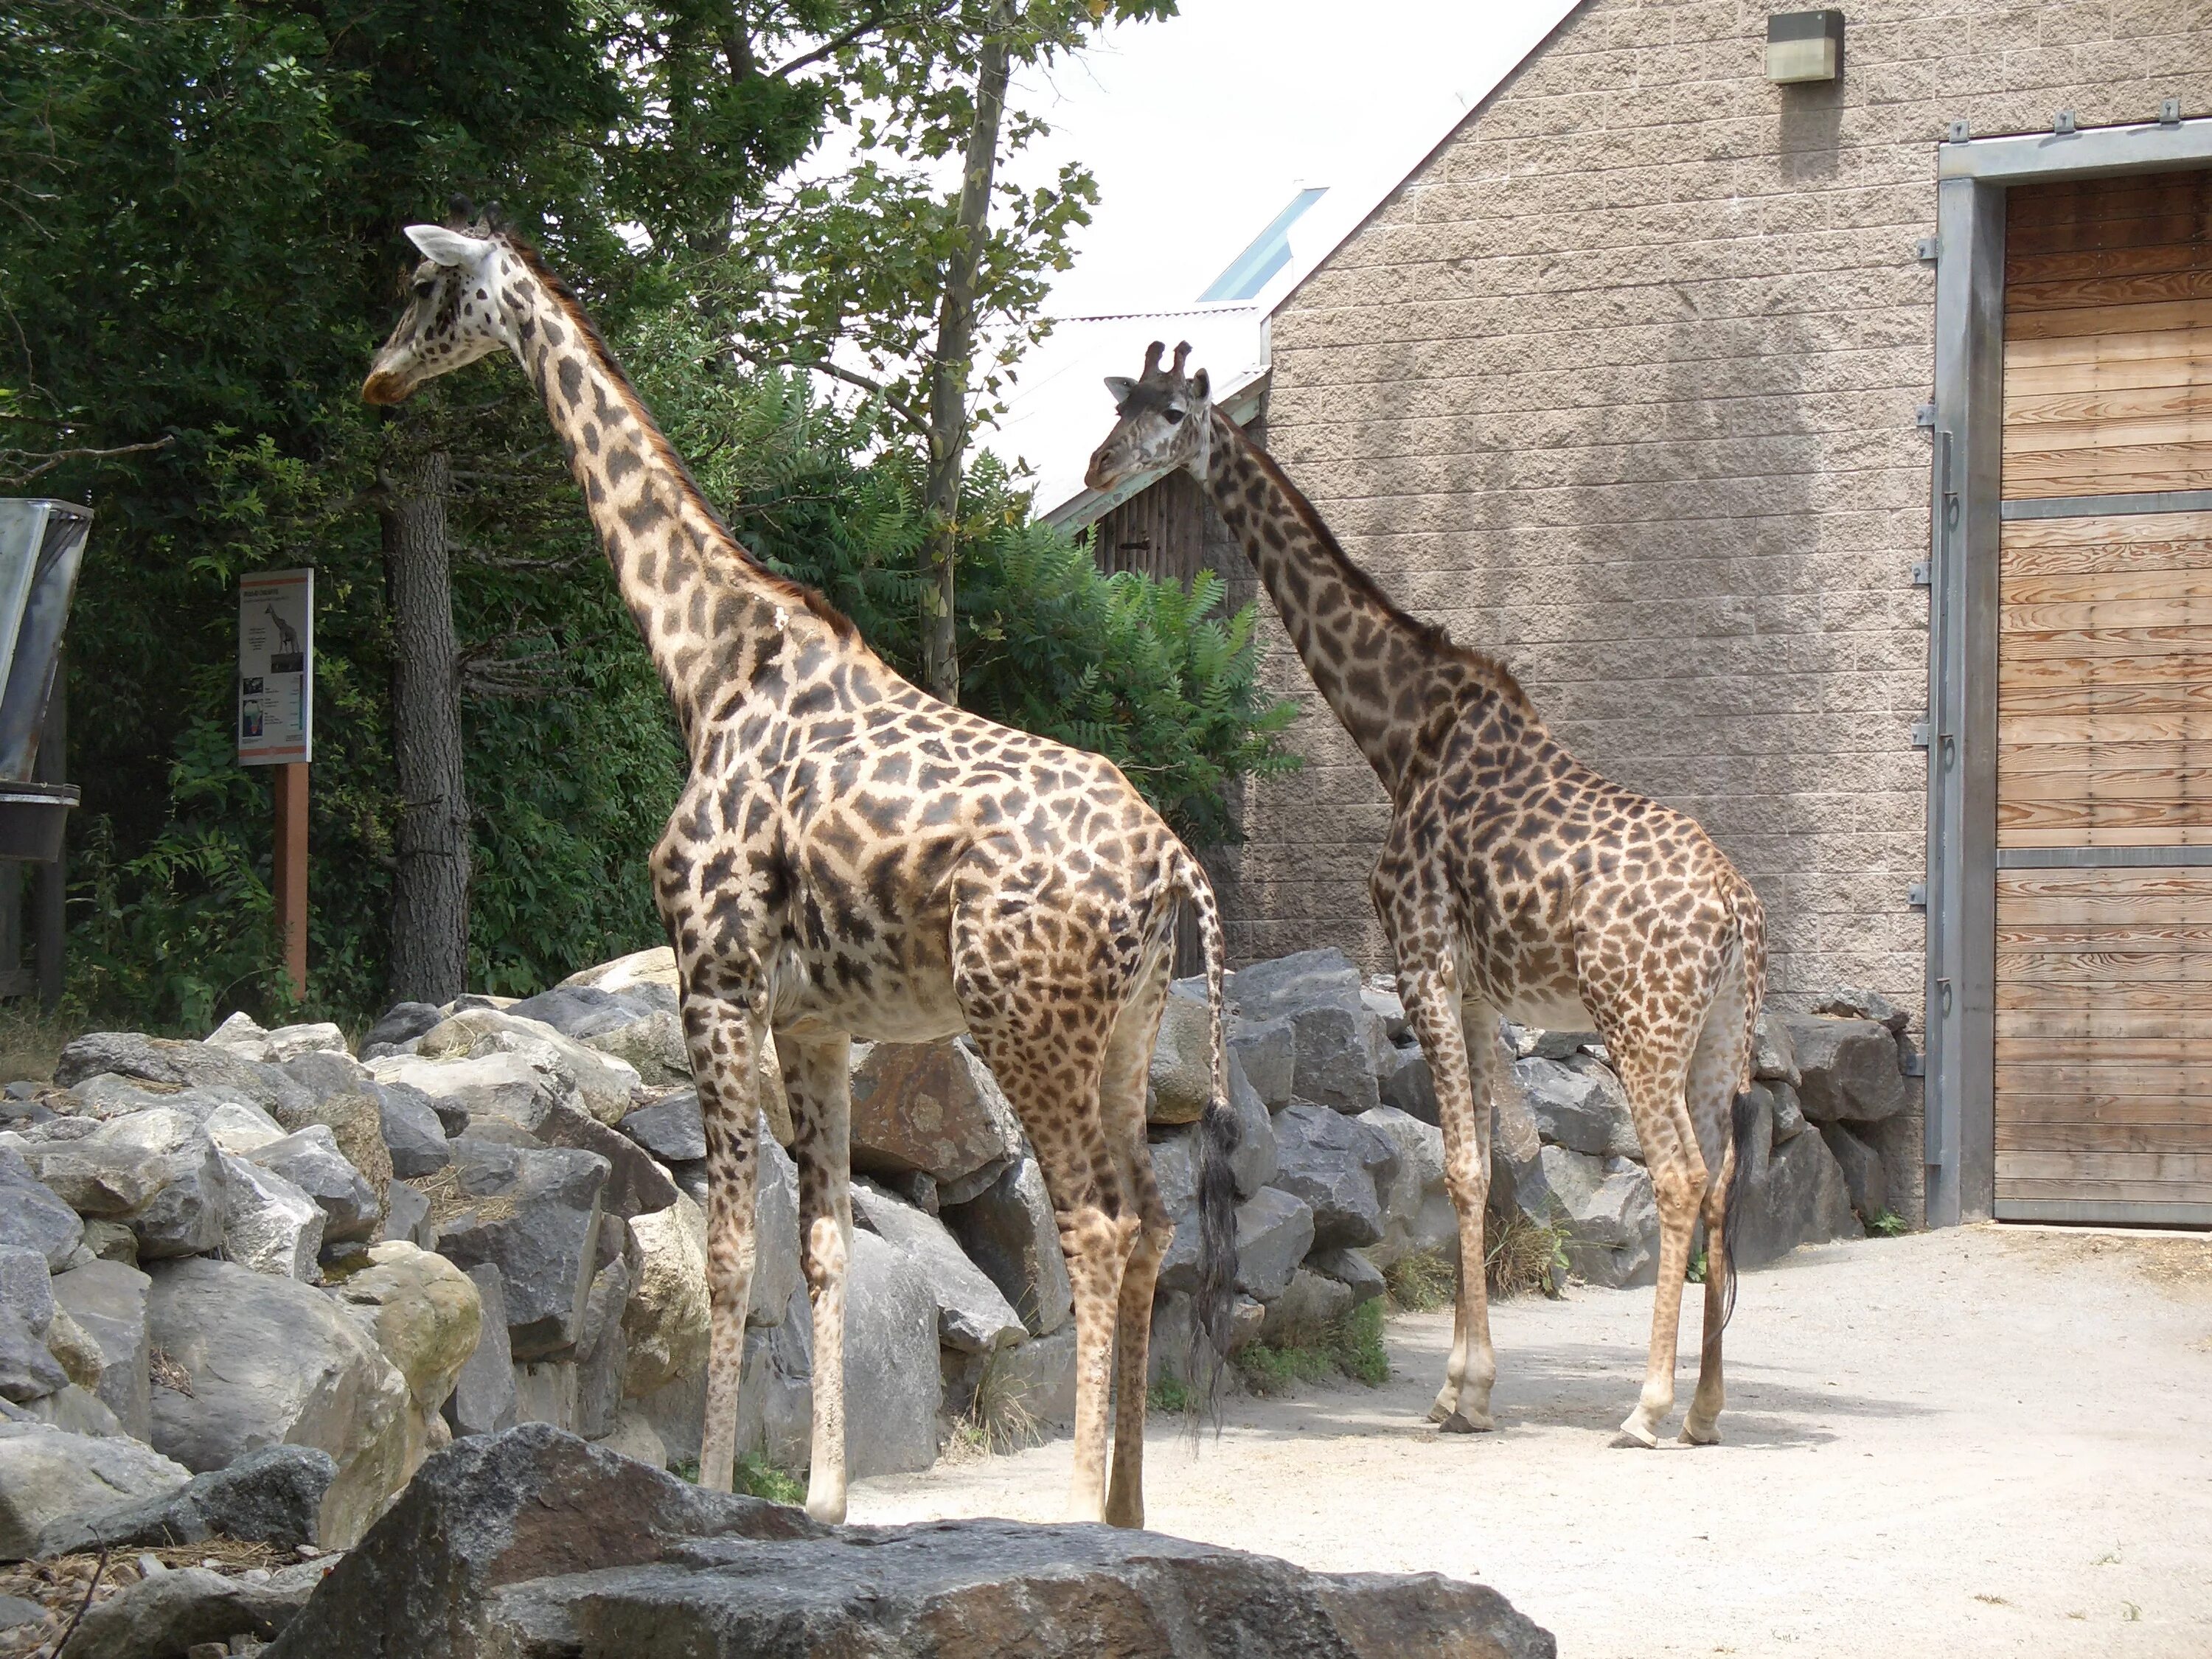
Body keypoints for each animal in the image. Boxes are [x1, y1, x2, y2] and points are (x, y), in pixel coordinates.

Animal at [354, 224, 1239, 1531]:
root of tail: (1171, 860)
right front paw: (822, 1501)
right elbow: (823, 1246)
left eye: (424, 285)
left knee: (1094, 1222)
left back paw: (1079, 1510)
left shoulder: (714, 981)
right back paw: (1130, 1514)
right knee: (1156, 1215)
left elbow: (732, 1251)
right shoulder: (818, 1022)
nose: (377, 377)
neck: (711, 662)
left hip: (1028, 1025)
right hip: (1126, 1031)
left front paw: (717, 1491)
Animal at [1084, 345, 1761, 1451]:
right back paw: (1704, 1407)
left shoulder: (1420, 959)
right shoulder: (1479, 988)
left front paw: (1454, 1393)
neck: (1399, 733)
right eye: (1123, 406)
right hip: (1713, 1037)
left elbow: (1462, 1169)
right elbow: (1495, 1161)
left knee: (1680, 1175)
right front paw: (1475, 1388)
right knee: (1724, 1177)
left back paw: (1647, 1407)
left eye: (1175, 412)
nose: (1100, 466)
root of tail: (1742, 913)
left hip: (1642, 1024)